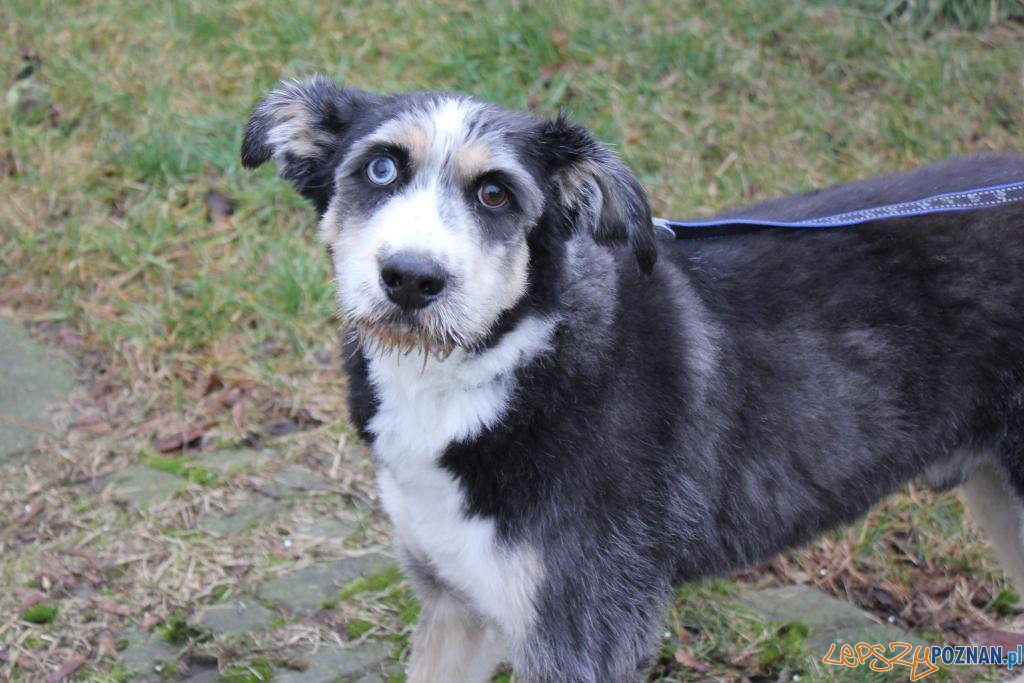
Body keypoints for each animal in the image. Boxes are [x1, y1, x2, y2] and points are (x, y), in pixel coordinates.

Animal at [243, 72, 1024, 679]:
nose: (410, 278)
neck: (499, 367)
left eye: (496, 194)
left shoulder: (581, 628)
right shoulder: (453, 602)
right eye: (380, 169)